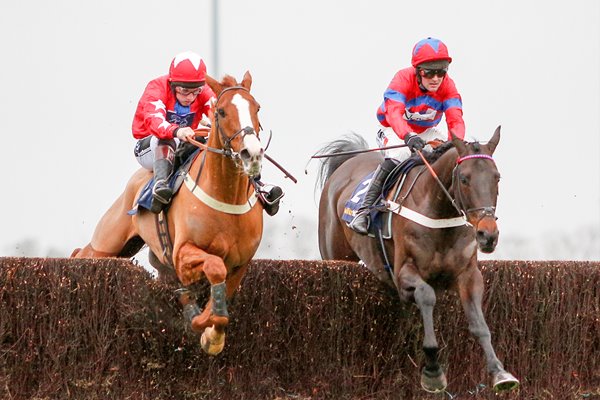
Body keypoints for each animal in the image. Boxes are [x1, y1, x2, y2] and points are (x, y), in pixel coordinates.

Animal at [71, 71, 264, 354]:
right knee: (84, 253)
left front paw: (210, 332)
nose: (252, 153)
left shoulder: (241, 263)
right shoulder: (182, 254)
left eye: (257, 108)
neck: (225, 196)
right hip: (107, 244)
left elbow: (220, 303)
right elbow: (215, 267)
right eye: (221, 112)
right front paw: (201, 323)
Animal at [316, 126, 516, 392]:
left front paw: (500, 373)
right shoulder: (403, 274)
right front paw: (432, 370)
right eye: (464, 179)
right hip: (334, 256)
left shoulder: (468, 275)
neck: (440, 216)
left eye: (497, 178)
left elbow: (480, 324)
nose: (487, 235)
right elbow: (426, 295)